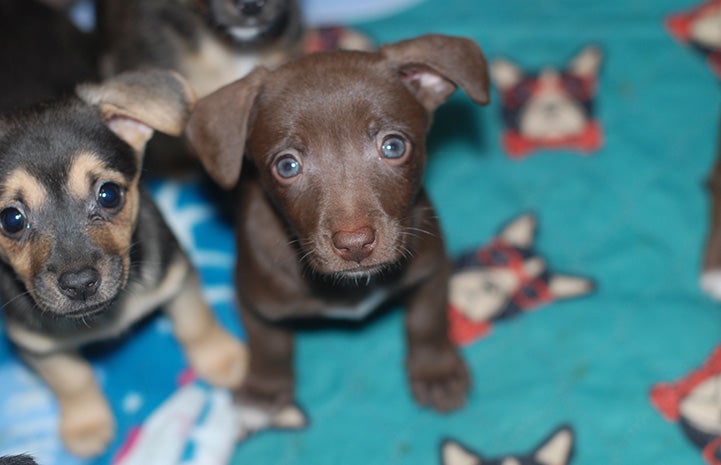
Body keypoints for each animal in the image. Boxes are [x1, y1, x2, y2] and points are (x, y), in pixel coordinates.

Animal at [0, 70, 248, 456]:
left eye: (109, 194)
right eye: (11, 220)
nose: (80, 283)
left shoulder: (176, 277)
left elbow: (195, 322)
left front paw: (223, 359)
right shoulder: (33, 343)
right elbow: (70, 378)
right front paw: (86, 424)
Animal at [186, 33, 490, 416]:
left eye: (393, 146)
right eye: (287, 166)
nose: (355, 244)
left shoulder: (432, 267)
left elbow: (426, 320)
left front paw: (436, 371)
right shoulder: (252, 297)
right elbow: (269, 343)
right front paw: (265, 387)